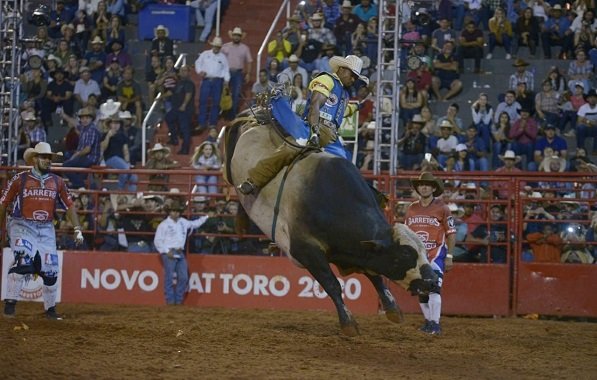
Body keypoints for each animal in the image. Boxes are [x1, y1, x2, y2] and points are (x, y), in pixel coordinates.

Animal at [221, 110, 436, 336]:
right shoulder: (305, 251)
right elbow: (332, 284)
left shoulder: (356, 252)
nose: (432, 282)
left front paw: (392, 308)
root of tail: (252, 117)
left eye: (423, 250)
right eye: (405, 254)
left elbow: (374, 275)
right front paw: (348, 322)